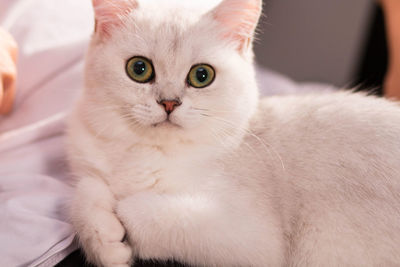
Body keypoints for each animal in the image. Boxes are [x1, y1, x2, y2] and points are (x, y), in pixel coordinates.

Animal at [67, 0, 400, 267]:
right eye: (139, 69)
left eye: (201, 76)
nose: (169, 103)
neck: (149, 152)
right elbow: (85, 190)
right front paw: (105, 241)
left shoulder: (252, 238)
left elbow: (147, 210)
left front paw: (122, 214)